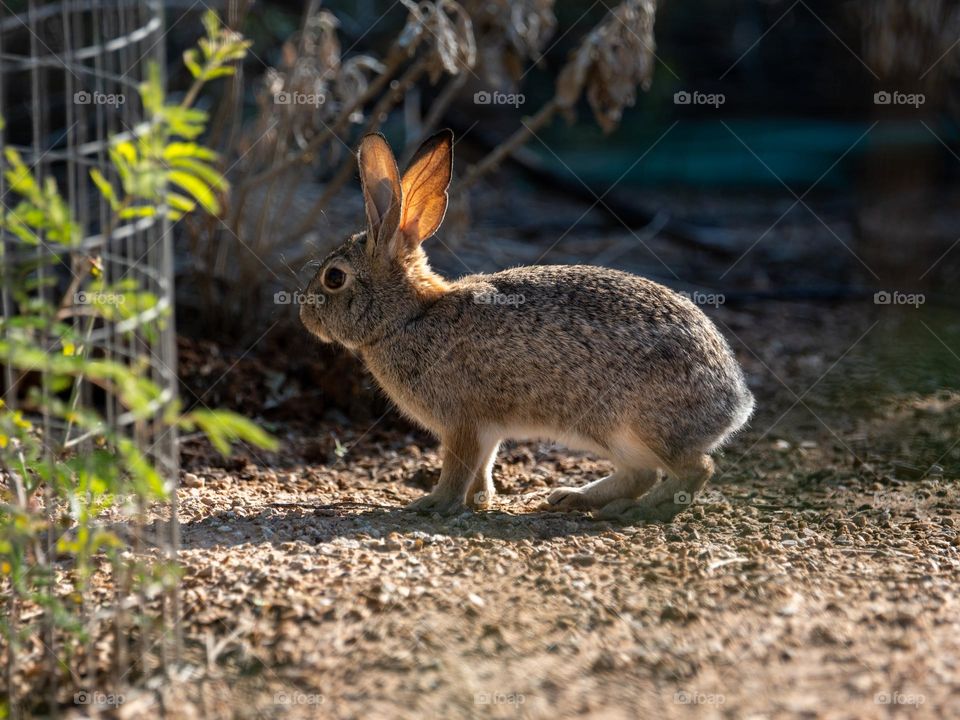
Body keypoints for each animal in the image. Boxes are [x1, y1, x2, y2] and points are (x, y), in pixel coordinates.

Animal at [300, 129, 755, 522]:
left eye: (334, 278)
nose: (305, 316)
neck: (409, 316)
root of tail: (735, 402)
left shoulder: (463, 422)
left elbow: (459, 468)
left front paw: (432, 505)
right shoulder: (487, 430)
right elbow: (483, 466)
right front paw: (479, 501)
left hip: (642, 427)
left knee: (697, 469)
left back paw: (638, 511)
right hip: (612, 435)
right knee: (640, 474)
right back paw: (576, 499)